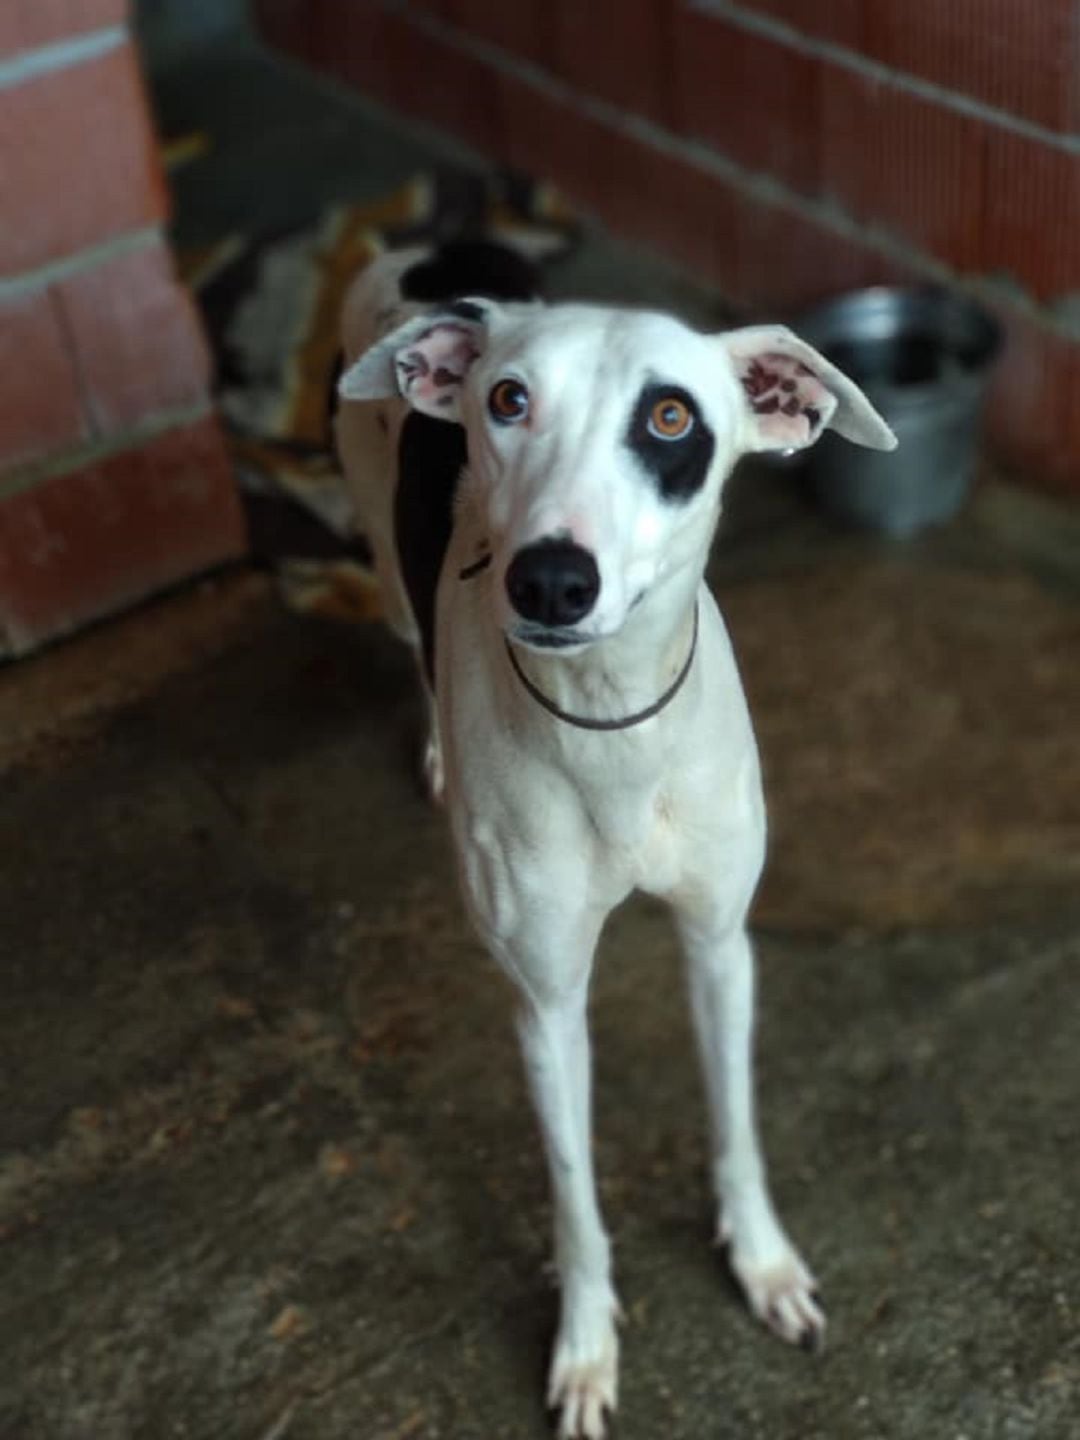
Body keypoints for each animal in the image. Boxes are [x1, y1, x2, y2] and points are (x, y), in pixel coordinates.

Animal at [336, 241, 898, 1434]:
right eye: (507, 400)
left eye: (673, 417)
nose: (551, 579)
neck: (610, 723)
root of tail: (438, 248)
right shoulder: (545, 1005)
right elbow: (573, 1196)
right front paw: (587, 1347)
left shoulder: (720, 944)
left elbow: (735, 1124)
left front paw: (764, 1267)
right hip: (380, 550)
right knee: (408, 642)